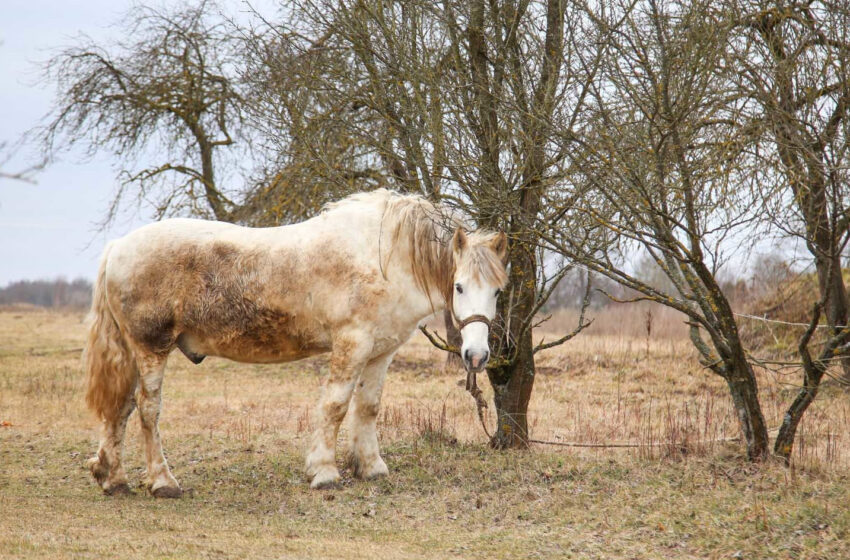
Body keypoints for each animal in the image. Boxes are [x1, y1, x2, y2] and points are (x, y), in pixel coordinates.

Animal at [83, 190, 506, 496]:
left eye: (498, 291)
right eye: (459, 286)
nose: (476, 355)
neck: (383, 257)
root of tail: (118, 247)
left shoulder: (380, 352)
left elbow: (368, 408)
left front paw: (371, 468)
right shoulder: (351, 343)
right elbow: (335, 407)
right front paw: (324, 472)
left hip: (133, 352)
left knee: (120, 408)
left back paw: (112, 477)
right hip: (151, 348)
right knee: (147, 410)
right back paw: (163, 482)